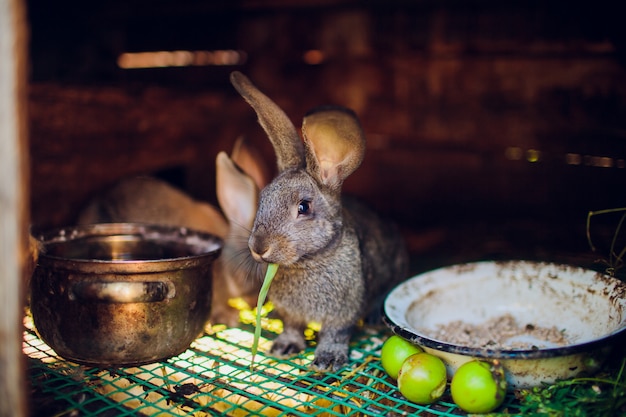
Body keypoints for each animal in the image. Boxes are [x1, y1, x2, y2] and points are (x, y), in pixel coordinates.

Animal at [229, 70, 410, 370]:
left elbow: (335, 334)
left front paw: (327, 360)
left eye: (303, 207)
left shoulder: (342, 313)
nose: (259, 247)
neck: (310, 261)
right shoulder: (290, 314)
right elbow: (292, 327)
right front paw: (284, 347)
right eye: (263, 198)